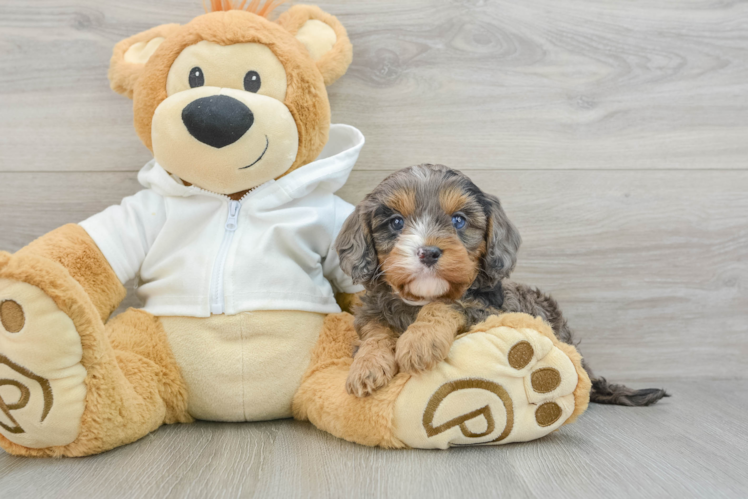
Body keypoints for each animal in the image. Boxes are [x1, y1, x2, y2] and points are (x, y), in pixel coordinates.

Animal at [336, 164, 668, 406]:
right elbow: (375, 332)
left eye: (458, 221)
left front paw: (419, 341)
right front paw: (366, 367)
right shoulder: (371, 311)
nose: (428, 252)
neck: (419, 298)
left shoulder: (487, 310)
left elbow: (449, 304)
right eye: (395, 222)